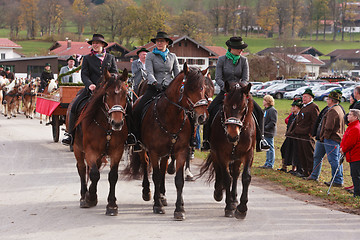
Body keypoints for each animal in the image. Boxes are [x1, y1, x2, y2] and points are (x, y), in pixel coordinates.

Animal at [71, 69, 129, 216]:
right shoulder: (90, 151)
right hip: (77, 149)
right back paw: (83, 196)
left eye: (125, 93)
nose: (117, 123)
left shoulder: (117, 151)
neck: (107, 126)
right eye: (107, 93)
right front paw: (90, 197)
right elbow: (94, 174)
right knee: (81, 169)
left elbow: (113, 176)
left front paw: (112, 205)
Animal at [131, 62, 208, 220]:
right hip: (143, 149)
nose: (202, 117)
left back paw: (162, 195)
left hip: (166, 152)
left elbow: (178, 180)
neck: (171, 117)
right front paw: (157, 205)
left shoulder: (180, 151)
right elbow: (155, 176)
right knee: (145, 164)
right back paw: (147, 193)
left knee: (163, 169)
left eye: (203, 87)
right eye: (190, 88)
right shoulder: (154, 152)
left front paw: (179, 209)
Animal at [200, 81, 256, 219]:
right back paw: (219, 193)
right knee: (219, 171)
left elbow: (245, 177)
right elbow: (226, 178)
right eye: (225, 106)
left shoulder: (248, 153)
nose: (232, 135)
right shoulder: (221, 154)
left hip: (237, 157)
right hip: (216, 154)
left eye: (243, 107)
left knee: (235, 174)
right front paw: (229, 207)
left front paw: (241, 208)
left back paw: (234, 199)